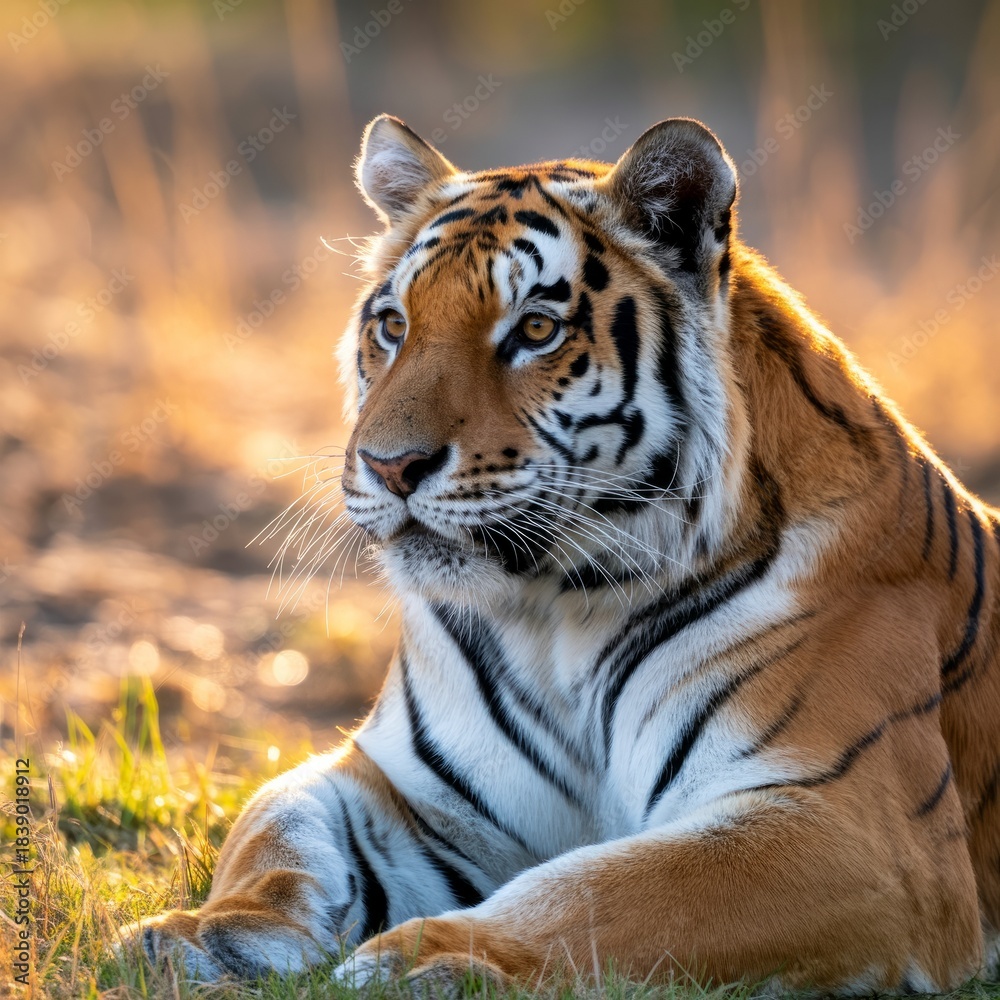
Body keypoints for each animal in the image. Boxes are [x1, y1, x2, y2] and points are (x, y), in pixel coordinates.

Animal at [121, 114, 1000, 994]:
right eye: (394, 325)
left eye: (535, 331)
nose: (390, 465)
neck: (561, 608)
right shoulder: (413, 791)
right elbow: (276, 825)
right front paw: (209, 933)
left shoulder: (850, 825)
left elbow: (609, 891)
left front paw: (429, 956)